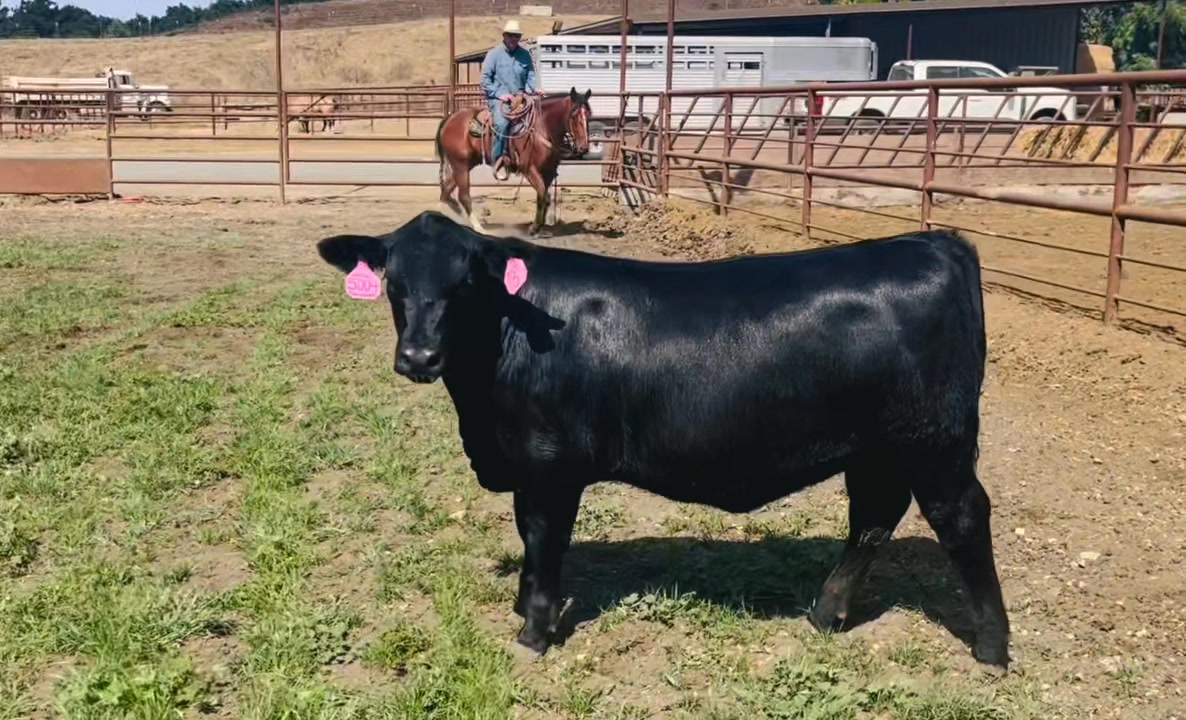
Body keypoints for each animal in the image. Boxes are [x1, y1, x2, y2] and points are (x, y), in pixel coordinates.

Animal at [315, 211, 1012, 669]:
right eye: (393, 283)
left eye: (463, 284)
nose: (419, 357)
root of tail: (931, 243)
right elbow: (530, 543)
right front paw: (523, 610)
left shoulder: (548, 466)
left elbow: (543, 542)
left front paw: (533, 633)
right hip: (878, 449)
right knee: (872, 517)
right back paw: (825, 614)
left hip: (936, 445)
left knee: (961, 518)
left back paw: (992, 647)